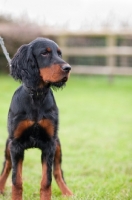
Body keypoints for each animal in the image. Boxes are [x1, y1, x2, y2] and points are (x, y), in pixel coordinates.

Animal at [0, 38, 72, 200]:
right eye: (44, 53)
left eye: (59, 53)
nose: (68, 68)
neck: (37, 96)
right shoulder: (16, 144)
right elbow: (16, 180)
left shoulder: (49, 144)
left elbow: (47, 180)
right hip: (8, 145)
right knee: (6, 167)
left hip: (57, 146)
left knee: (58, 171)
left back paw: (67, 192)